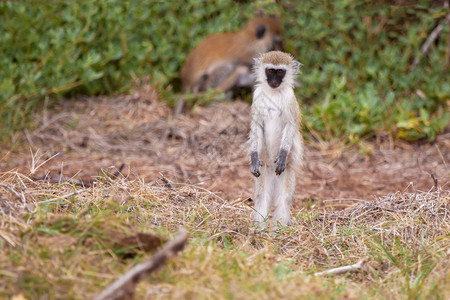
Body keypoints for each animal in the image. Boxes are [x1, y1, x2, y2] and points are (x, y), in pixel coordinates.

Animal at [250, 51, 302, 227]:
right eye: (270, 71)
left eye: (280, 72)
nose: (273, 81)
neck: (273, 93)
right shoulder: (257, 96)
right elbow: (256, 125)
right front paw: (253, 157)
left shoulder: (290, 98)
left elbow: (291, 125)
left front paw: (283, 154)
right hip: (264, 172)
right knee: (262, 198)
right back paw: (259, 229)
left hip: (286, 174)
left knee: (283, 199)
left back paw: (280, 229)